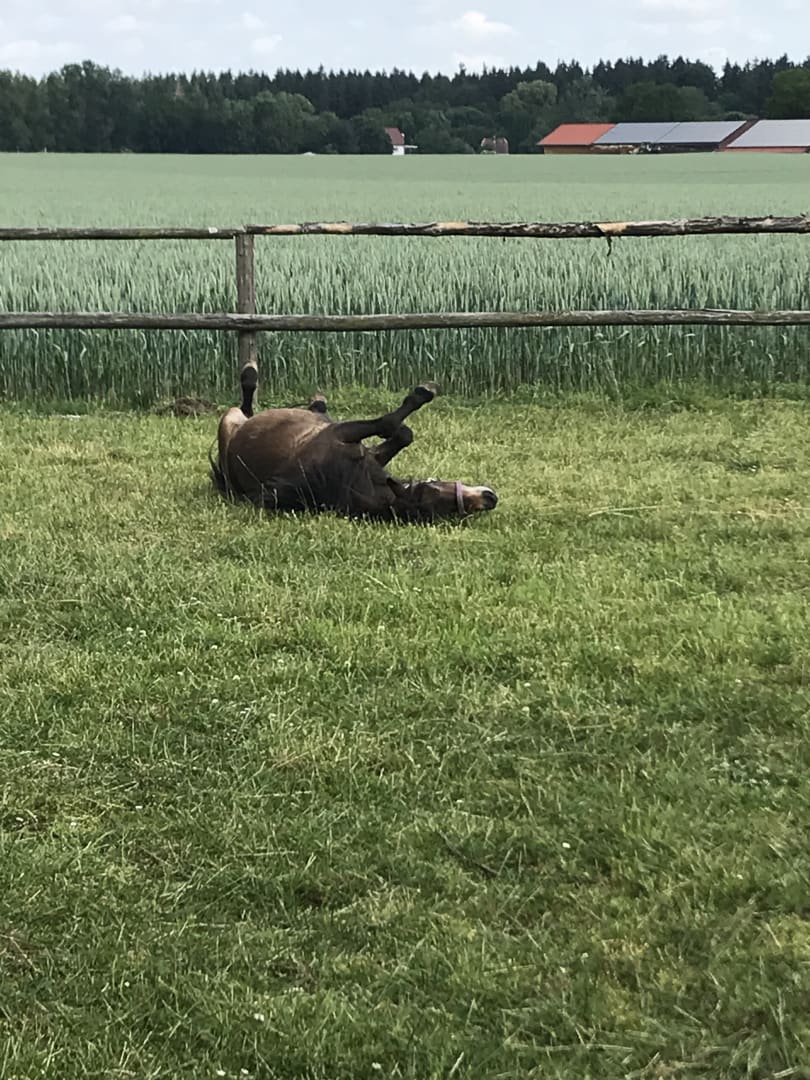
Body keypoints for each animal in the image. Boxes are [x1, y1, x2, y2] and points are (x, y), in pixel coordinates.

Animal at [210, 361, 498, 522]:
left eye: (451, 512)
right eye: (434, 491)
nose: (490, 499)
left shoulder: (367, 452)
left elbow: (402, 434)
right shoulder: (340, 433)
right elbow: (391, 425)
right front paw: (424, 391)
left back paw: (316, 401)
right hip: (228, 419)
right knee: (246, 403)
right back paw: (251, 372)